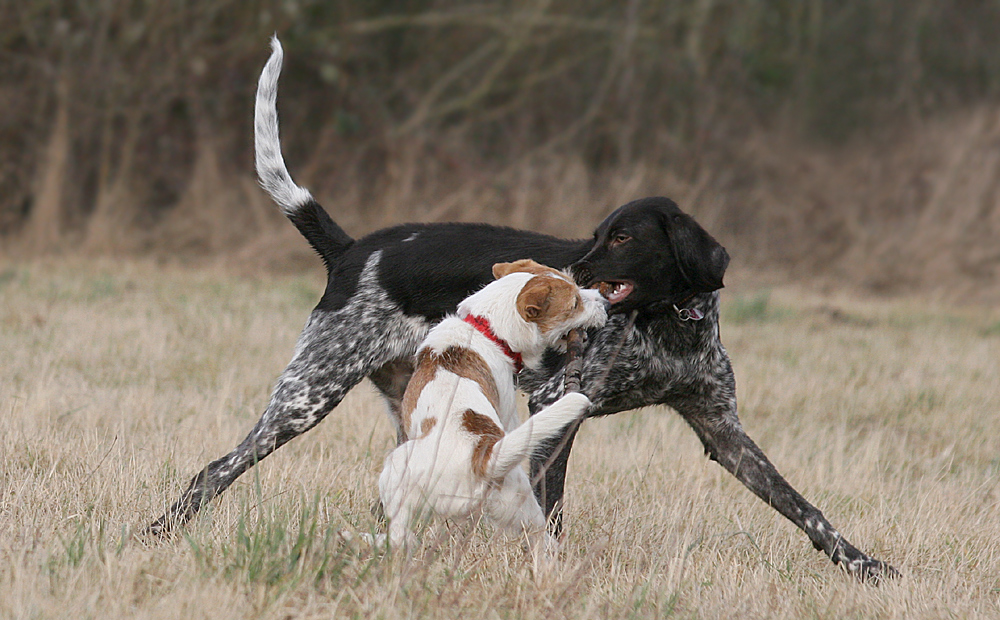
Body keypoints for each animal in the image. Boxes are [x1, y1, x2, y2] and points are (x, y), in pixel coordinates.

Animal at [148, 36, 900, 584]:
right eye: (597, 234)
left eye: (622, 238)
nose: (573, 271)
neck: (669, 326)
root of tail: (353, 249)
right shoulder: (556, 405)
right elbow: (553, 509)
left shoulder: (724, 432)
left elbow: (807, 511)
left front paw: (867, 566)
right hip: (305, 397)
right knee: (213, 471)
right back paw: (157, 534)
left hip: (404, 412)